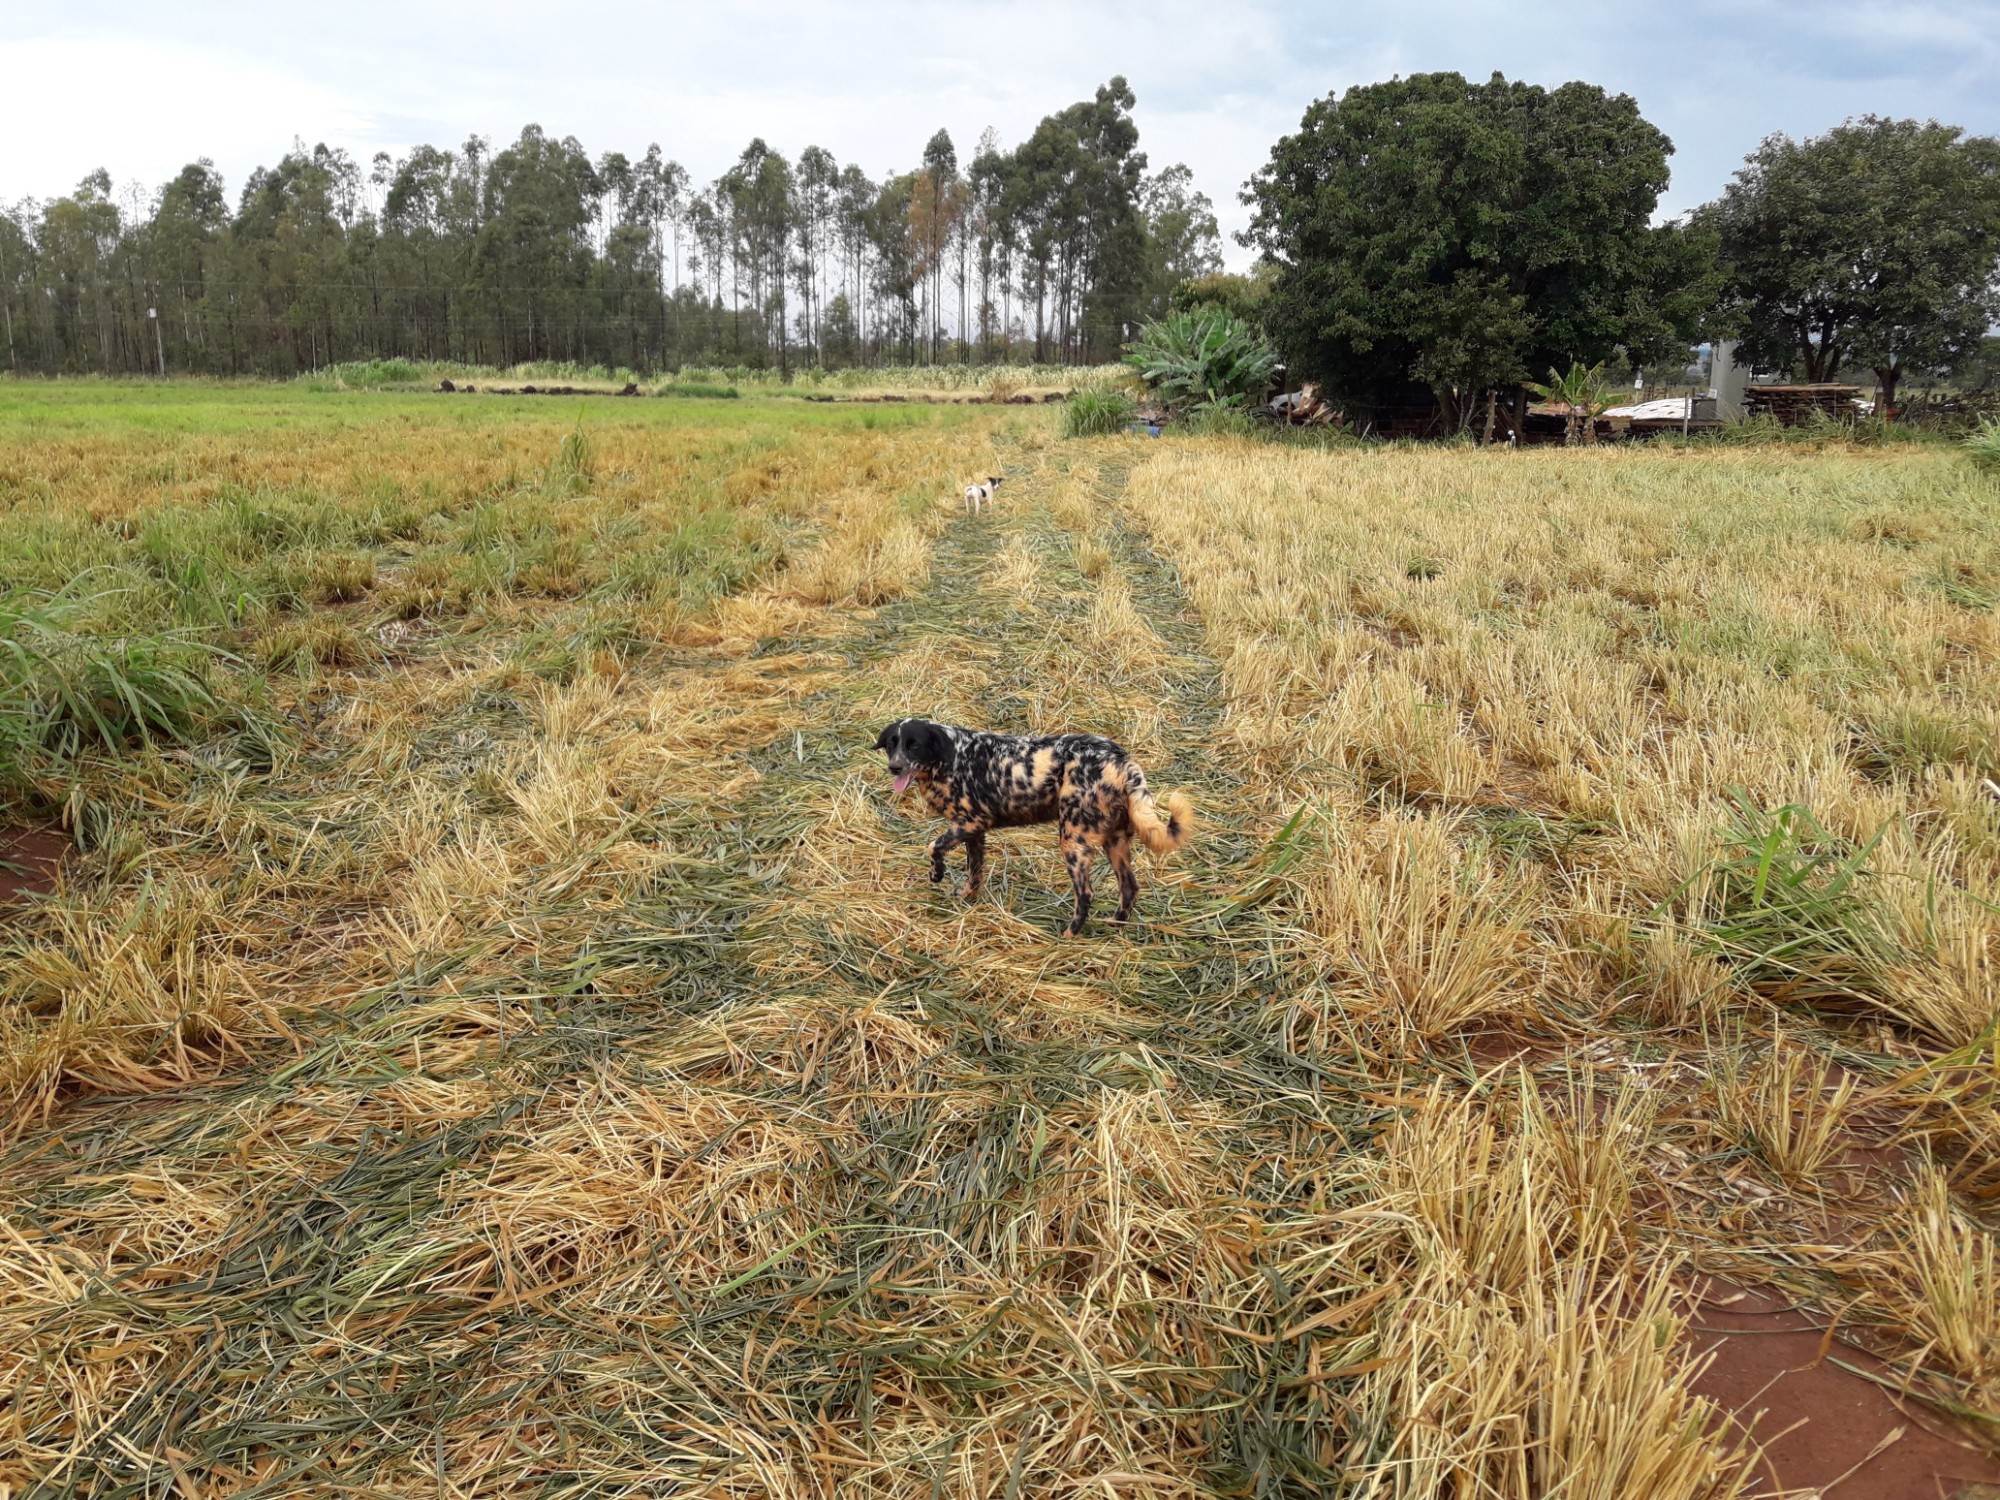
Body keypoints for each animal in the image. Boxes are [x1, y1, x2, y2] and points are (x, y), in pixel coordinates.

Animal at [872, 720, 1184, 940]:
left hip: (1073, 842)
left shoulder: (968, 824)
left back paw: (1069, 935)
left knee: (1085, 894)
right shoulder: (975, 831)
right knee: (1129, 888)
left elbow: (933, 847)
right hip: (1114, 841)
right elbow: (974, 873)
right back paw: (1115, 927)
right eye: (892, 744)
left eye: (914, 745)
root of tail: (1120, 760)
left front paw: (936, 874)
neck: (951, 756)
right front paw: (966, 899)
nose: (893, 767)